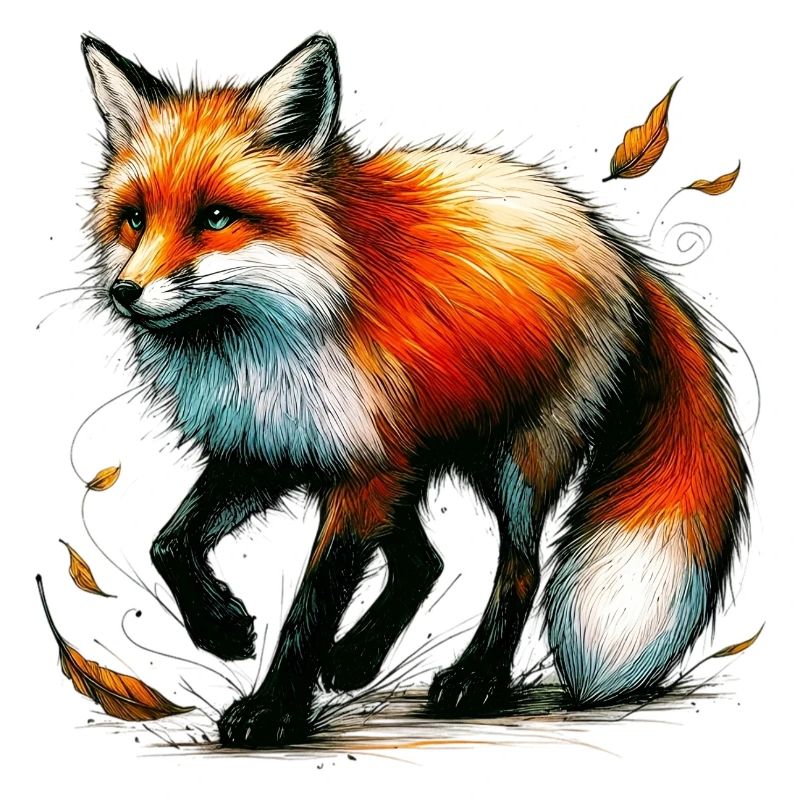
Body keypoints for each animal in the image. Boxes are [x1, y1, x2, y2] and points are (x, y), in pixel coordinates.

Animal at [80, 33, 749, 748]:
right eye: (134, 221)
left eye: (215, 218)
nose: (124, 292)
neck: (270, 337)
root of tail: (617, 245)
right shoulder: (273, 445)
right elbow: (169, 543)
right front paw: (223, 629)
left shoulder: (356, 466)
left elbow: (312, 604)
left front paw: (273, 711)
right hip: (408, 459)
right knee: (424, 562)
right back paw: (356, 659)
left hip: (515, 458)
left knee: (520, 569)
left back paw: (476, 679)